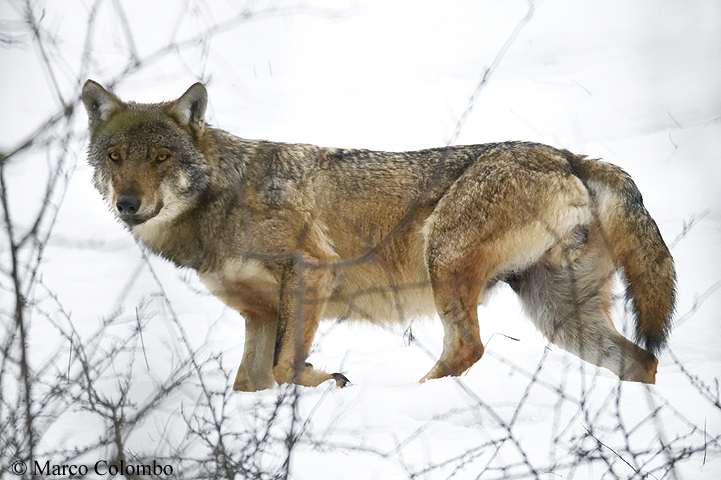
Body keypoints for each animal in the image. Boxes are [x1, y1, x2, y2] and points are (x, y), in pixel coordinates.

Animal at [81, 80, 672, 392]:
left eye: (161, 157)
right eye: (116, 157)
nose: (128, 204)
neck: (223, 199)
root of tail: (569, 155)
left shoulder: (311, 272)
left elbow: (285, 366)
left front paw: (328, 383)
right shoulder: (259, 314)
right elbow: (252, 380)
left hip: (444, 259)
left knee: (468, 349)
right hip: (560, 318)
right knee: (642, 362)